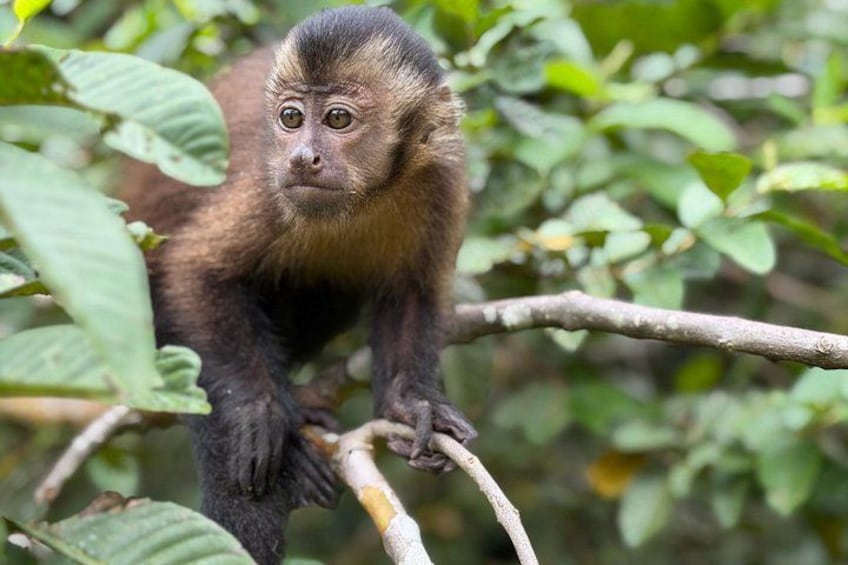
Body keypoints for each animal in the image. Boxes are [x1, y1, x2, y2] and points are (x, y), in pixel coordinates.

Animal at [121, 6, 476, 564]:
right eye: (291, 118)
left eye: (337, 119)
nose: (302, 157)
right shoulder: (269, 187)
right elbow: (195, 273)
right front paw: (259, 410)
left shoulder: (443, 173)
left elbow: (414, 292)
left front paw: (410, 402)